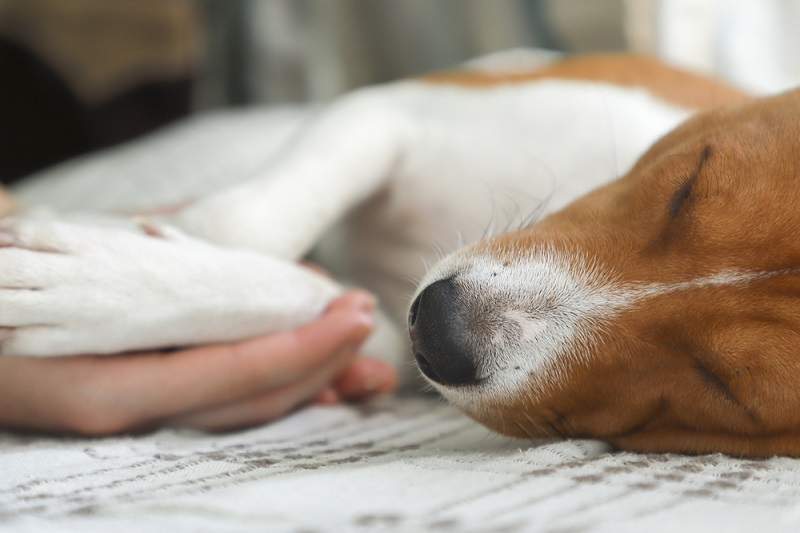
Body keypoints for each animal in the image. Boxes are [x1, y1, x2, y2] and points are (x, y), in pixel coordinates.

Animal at [4, 51, 792, 458]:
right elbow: (243, 217)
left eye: (725, 389)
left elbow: (312, 297)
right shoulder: (395, 113)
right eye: (686, 185)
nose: (440, 329)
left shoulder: (381, 332)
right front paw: (106, 262)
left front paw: (107, 289)